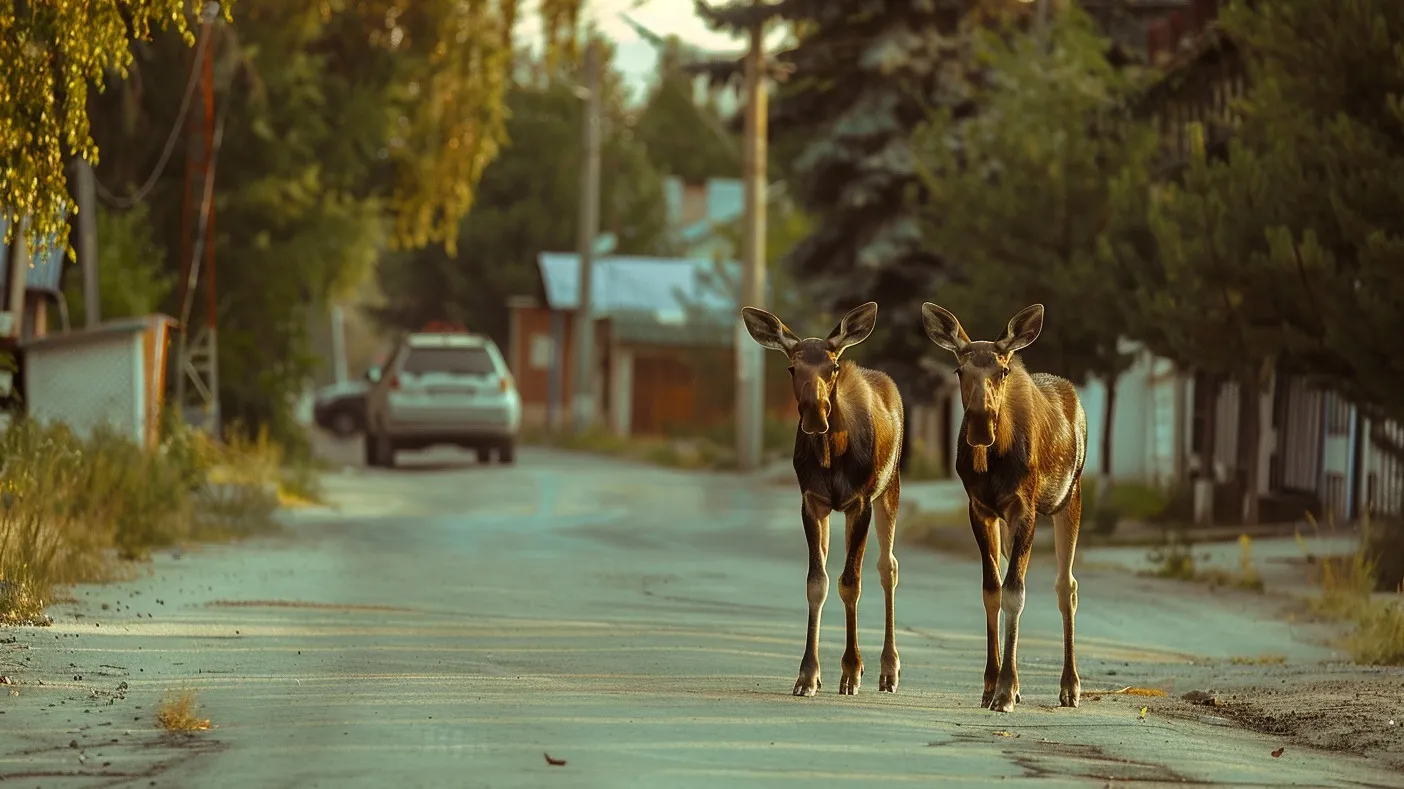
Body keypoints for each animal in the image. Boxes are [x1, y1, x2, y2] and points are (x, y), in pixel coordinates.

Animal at [741, 299, 904, 693]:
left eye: (832, 367)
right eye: (792, 366)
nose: (815, 415)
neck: (832, 457)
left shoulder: (860, 501)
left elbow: (850, 583)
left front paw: (851, 671)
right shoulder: (812, 501)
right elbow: (818, 582)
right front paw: (807, 674)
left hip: (889, 487)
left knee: (888, 566)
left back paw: (888, 669)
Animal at [921, 301, 1095, 713]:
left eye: (1002, 370)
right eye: (959, 370)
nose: (981, 426)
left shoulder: (1024, 509)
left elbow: (1016, 591)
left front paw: (1005, 689)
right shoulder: (980, 508)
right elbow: (992, 590)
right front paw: (991, 685)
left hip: (1070, 496)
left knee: (1067, 585)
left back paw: (1070, 685)